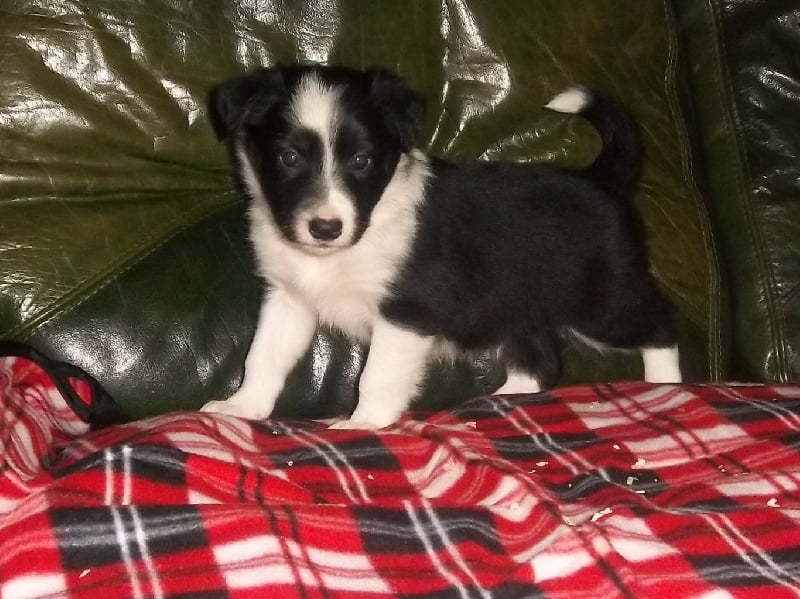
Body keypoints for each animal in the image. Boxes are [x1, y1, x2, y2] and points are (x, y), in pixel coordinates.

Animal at [200, 64, 681, 429]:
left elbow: (376, 376)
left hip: (603, 299)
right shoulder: (289, 298)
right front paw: (240, 408)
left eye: (362, 161)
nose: (325, 228)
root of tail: (601, 180)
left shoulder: (407, 313)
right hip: (519, 310)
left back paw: (663, 387)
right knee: (540, 365)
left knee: (661, 324)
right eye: (289, 158)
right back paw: (495, 402)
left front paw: (363, 424)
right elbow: (263, 356)